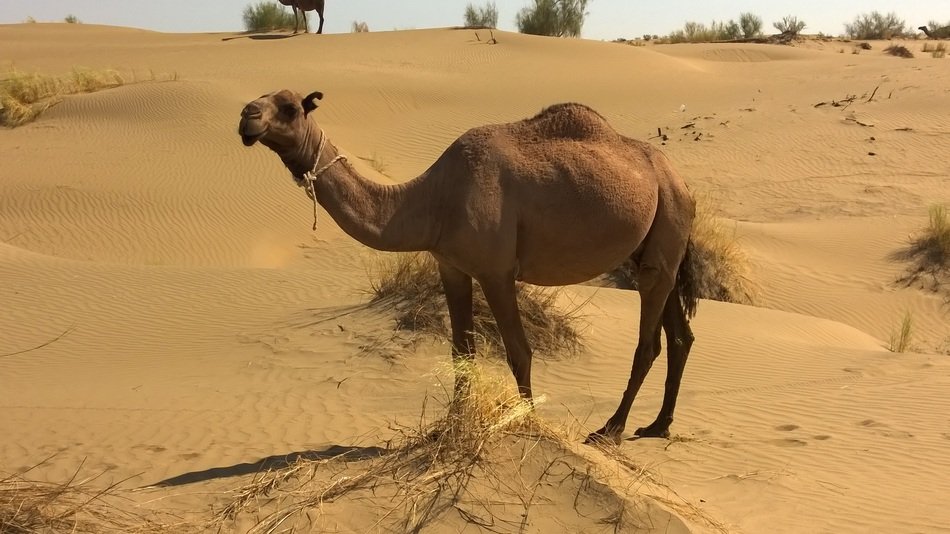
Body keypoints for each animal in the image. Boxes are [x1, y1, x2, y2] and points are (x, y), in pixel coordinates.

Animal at [238, 89, 699, 444]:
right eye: (261, 101)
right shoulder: (451, 266)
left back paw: (611, 429)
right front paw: (449, 427)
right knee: (680, 335)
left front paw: (528, 423)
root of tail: (680, 180)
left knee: (650, 342)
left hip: (666, 226)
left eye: (290, 107)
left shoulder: (496, 272)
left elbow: (518, 350)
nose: (247, 117)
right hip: (658, 244)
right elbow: (461, 350)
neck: (434, 199)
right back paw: (658, 426)